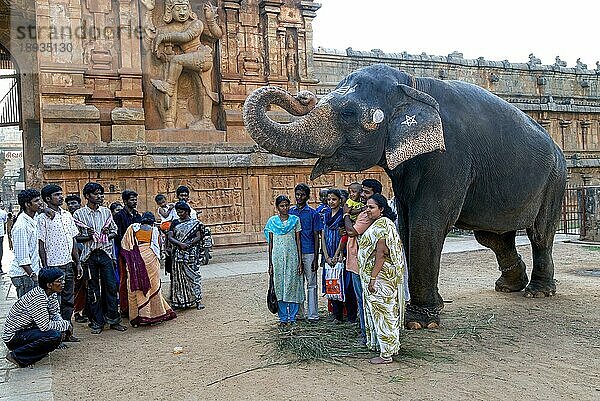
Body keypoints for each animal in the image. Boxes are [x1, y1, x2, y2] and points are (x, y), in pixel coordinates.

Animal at [243, 64, 568, 330]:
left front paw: (418, 322)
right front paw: (426, 309)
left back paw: (538, 291)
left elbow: (428, 223)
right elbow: (406, 222)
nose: (303, 96)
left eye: (348, 113)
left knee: (539, 234)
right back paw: (509, 286)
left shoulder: (450, 157)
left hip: (555, 179)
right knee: (493, 236)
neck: (411, 83)